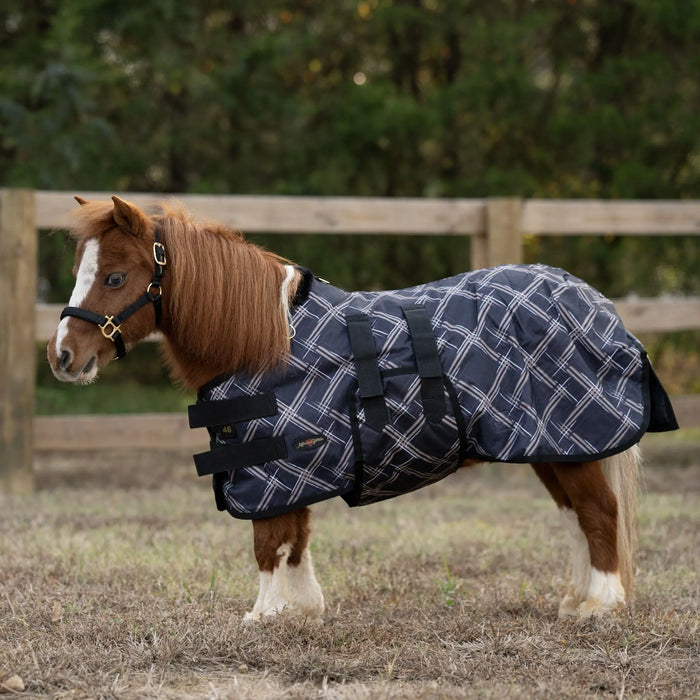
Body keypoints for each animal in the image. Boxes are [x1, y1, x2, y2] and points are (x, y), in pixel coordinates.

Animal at [47, 195, 677, 622]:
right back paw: (576, 598)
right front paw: (301, 609)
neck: (263, 340)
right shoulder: (291, 469)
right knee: (577, 517)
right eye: (80, 271)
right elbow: (295, 536)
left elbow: (268, 541)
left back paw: (601, 605)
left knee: (599, 513)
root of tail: (595, 303)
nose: (63, 356)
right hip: (551, 447)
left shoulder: (275, 465)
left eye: (115, 276)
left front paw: (265, 614)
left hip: (572, 444)